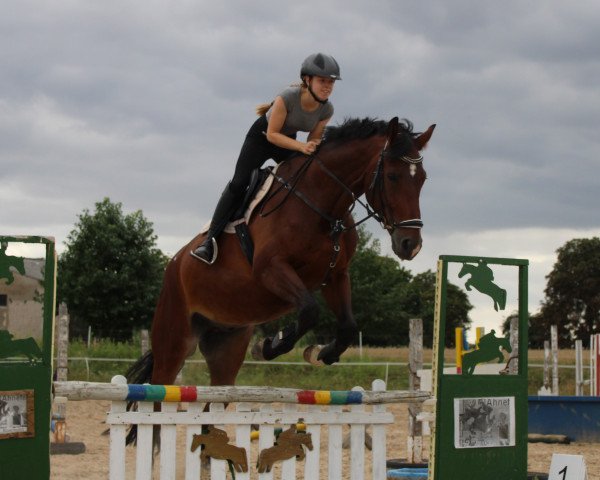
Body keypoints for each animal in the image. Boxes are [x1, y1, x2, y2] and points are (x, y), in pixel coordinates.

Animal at [127, 116, 436, 390]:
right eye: (392, 176)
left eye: (423, 179)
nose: (411, 244)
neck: (321, 206)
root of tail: (174, 264)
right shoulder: (271, 269)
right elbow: (309, 310)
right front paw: (269, 345)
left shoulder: (335, 276)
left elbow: (348, 325)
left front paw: (323, 353)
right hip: (174, 340)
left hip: (225, 342)